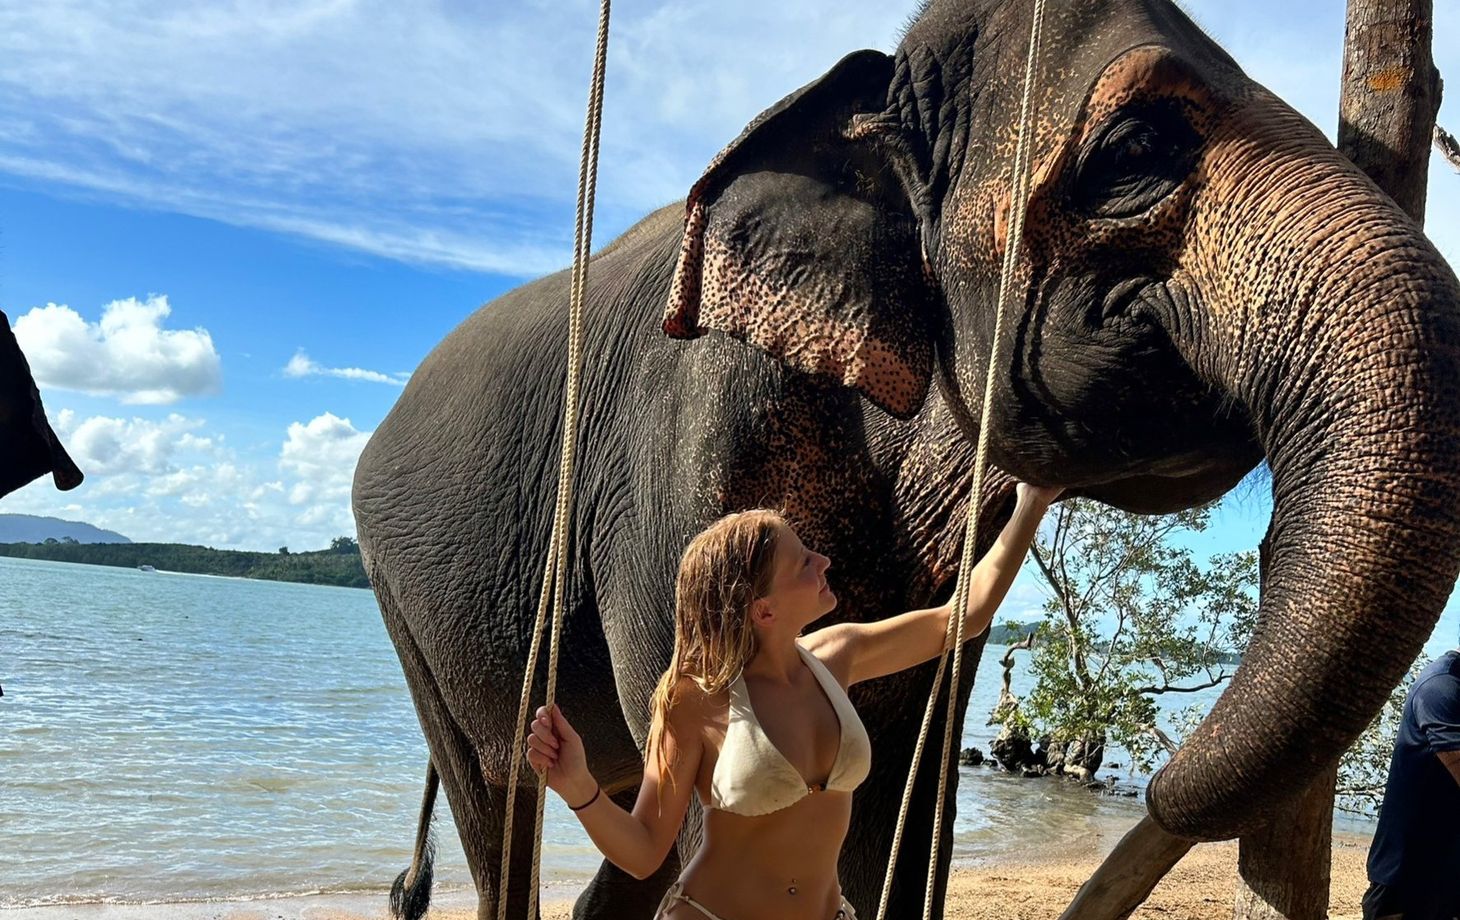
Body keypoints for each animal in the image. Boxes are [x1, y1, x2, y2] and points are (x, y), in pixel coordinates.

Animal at [351, 0, 1460, 917]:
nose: (1154, 793)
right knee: (502, 812)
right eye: (1135, 145)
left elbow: (905, 791)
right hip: (401, 595)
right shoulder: (676, 455)